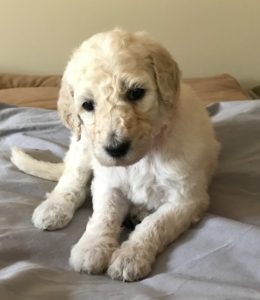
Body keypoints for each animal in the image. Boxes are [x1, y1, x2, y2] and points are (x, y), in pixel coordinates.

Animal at [11, 28, 219, 282]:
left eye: (136, 93)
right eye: (87, 105)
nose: (115, 149)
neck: (145, 156)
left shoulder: (186, 198)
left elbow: (156, 224)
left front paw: (130, 257)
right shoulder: (107, 182)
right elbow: (104, 215)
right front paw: (91, 248)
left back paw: (139, 212)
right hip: (83, 147)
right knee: (72, 180)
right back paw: (54, 208)